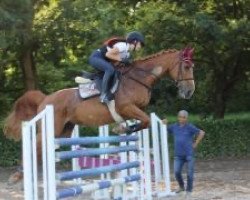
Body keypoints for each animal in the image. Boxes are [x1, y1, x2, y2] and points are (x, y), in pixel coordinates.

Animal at [3, 47, 195, 184]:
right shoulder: (127, 107)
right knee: (34, 145)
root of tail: (45, 98)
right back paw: (17, 176)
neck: (139, 78)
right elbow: (146, 120)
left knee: (44, 147)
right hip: (51, 127)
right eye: (186, 67)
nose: (189, 92)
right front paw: (123, 129)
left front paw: (122, 128)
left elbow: (143, 121)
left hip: (64, 130)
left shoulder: (136, 109)